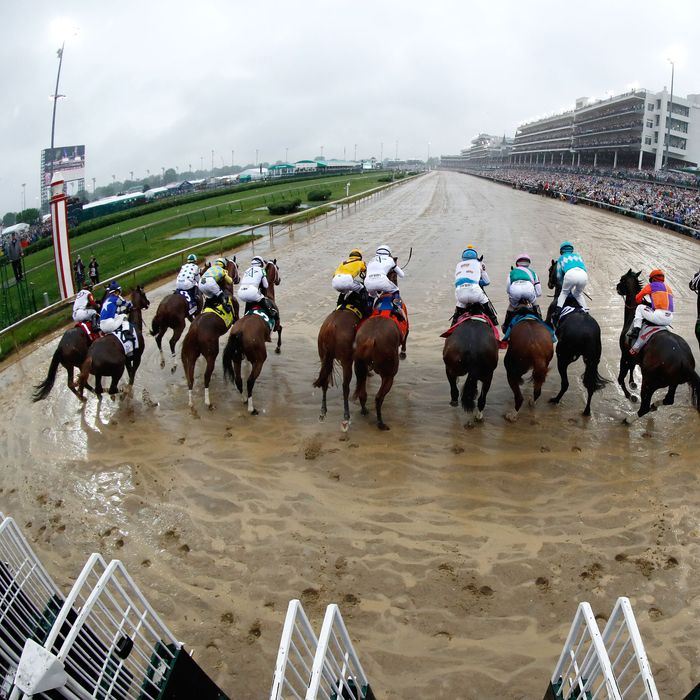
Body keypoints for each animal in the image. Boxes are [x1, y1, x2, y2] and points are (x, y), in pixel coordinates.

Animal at [548, 262, 608, 416]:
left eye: (550, 270)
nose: (549, 284)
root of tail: (588, 334)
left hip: (563, 356)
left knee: (565, 383)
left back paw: (555, 399)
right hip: (592, 360)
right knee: (591, 385)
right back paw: (586, 411)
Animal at [616, 268, 696, 422]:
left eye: (622, 279)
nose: (617, 287)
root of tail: (684, 360)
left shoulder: (625, 355)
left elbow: (620, 378)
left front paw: (630, 395)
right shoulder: (634, 356)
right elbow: (631, 369)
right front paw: (632, 383)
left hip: (649, 382)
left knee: (644, 407)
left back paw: (629, 419)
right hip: (672, 383)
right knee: (668, 400)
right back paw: (655, 405)